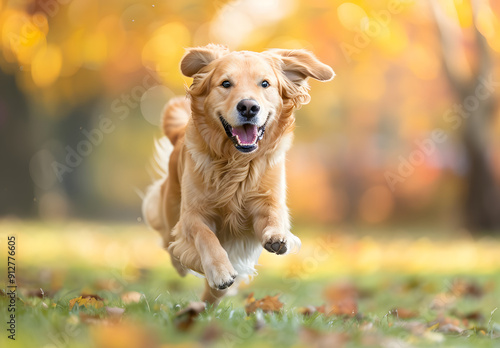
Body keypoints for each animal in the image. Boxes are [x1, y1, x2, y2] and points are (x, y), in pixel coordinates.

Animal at [143, 44, 334, 304]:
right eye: (226, 83)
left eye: (265, 83)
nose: (248, 107)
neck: (236, 162)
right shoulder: (192, 214)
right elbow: (205, 236)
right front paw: (220, 271)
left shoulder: (266, 201)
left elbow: (274, 216)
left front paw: (278, 236)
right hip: (169, 210)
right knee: (172, 248)